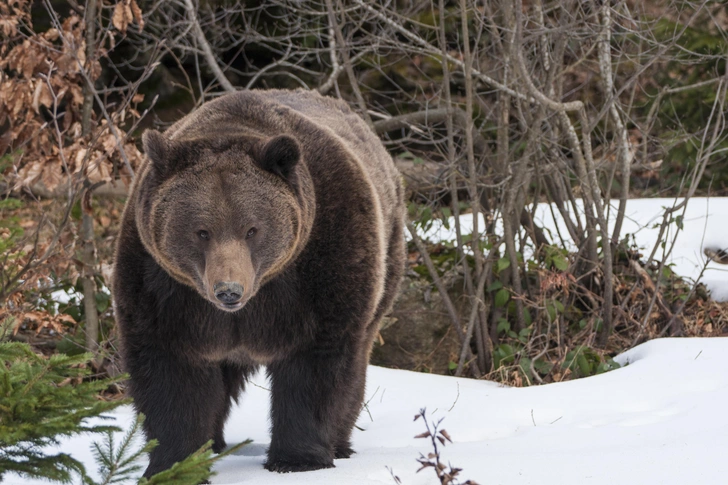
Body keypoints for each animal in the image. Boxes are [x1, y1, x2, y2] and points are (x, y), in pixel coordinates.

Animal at [111, 88, 406, 476]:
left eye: (252, 229)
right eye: (201, 231)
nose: (228, 290)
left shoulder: (321, 269)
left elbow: (317, 365)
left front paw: (297, 459)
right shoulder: (162, 287)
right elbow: (170, 371)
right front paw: (176, 462)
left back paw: (340, 445)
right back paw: (215, 442)